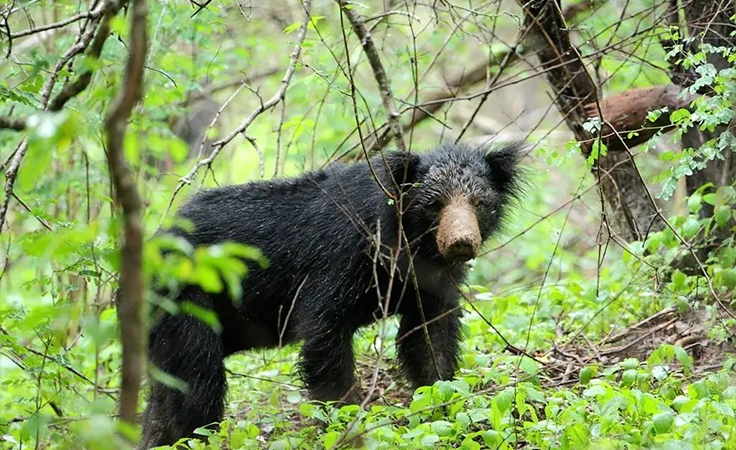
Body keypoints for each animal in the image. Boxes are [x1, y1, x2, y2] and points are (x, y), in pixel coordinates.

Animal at [139, 142, 524, 448]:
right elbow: (325, 335)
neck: (410, 247)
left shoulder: (433, 282)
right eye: (434, 205)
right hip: (187, 303)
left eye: (480, 202)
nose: (460, 242)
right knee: (197, 383)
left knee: (163, 398)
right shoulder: (339, 260)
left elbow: (430, 340)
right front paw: (349, 423)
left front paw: (445, 406)